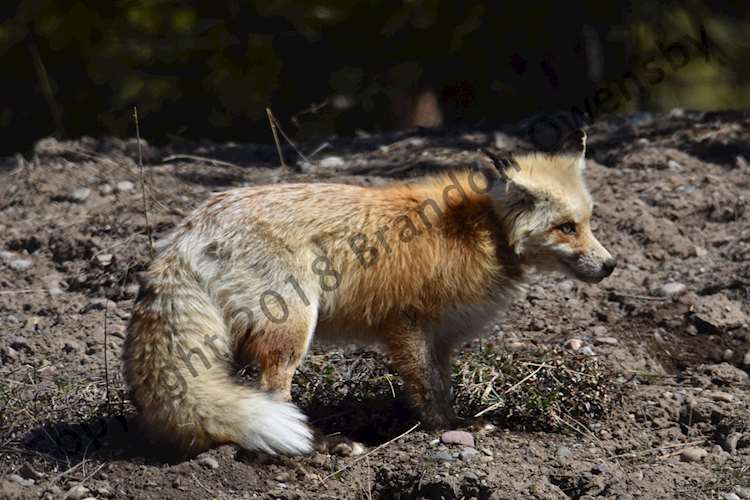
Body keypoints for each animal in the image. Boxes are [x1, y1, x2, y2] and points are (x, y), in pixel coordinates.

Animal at [123, 127, 616, 456]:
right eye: (566, 228)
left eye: (589, 222)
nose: (610, 265)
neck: (484, 229)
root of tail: (190, 228)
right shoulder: (407, 324)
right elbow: (426, 391)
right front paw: (442, 431)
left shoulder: (441, 337)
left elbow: (442, 386)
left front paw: (457, 424)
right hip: (293, 327)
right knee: (273, 391)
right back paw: (319, 447)